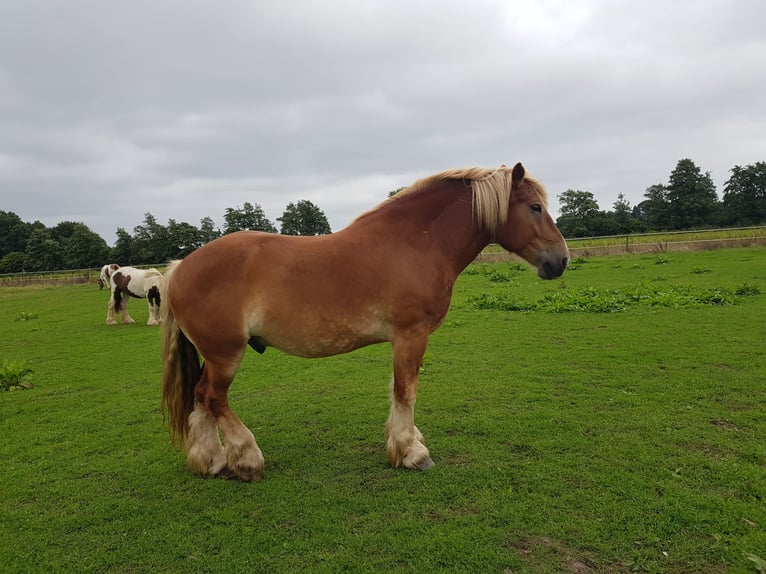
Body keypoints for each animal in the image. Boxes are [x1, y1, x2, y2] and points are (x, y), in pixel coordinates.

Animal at [162, 164, 568, 484]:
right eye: (535, 207)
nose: (560, 260)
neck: (415, 243)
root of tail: (179, 268)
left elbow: (399, 390)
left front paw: (409, 441)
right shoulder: (411, 335)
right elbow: (406, 391)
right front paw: (411, 453)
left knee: (199, 398)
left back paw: (212, 462)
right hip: (225, 354)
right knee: (214, 398)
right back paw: (247, 460)